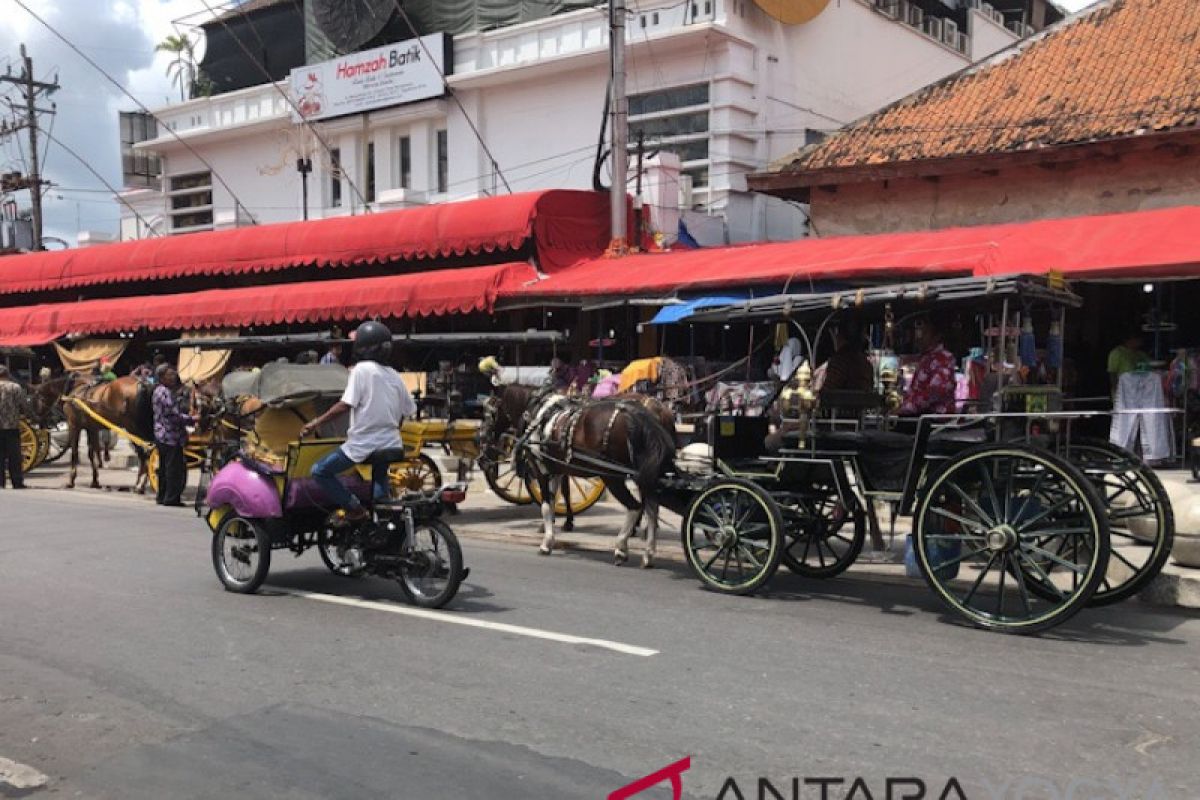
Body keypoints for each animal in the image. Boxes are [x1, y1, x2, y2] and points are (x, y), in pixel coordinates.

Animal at [484, 383, 676, 566]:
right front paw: (555, 528)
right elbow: (555, 500)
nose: (484, 441)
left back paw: (621, 548)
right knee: (651, 508)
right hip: (642, 475)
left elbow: (546, 505)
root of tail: (641, 414)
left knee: (635, 507)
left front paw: (547, 542)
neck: (538, 413)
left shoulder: (542, 470)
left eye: (489, 412)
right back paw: (648, 553)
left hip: (612, 476)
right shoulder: (557, 470)